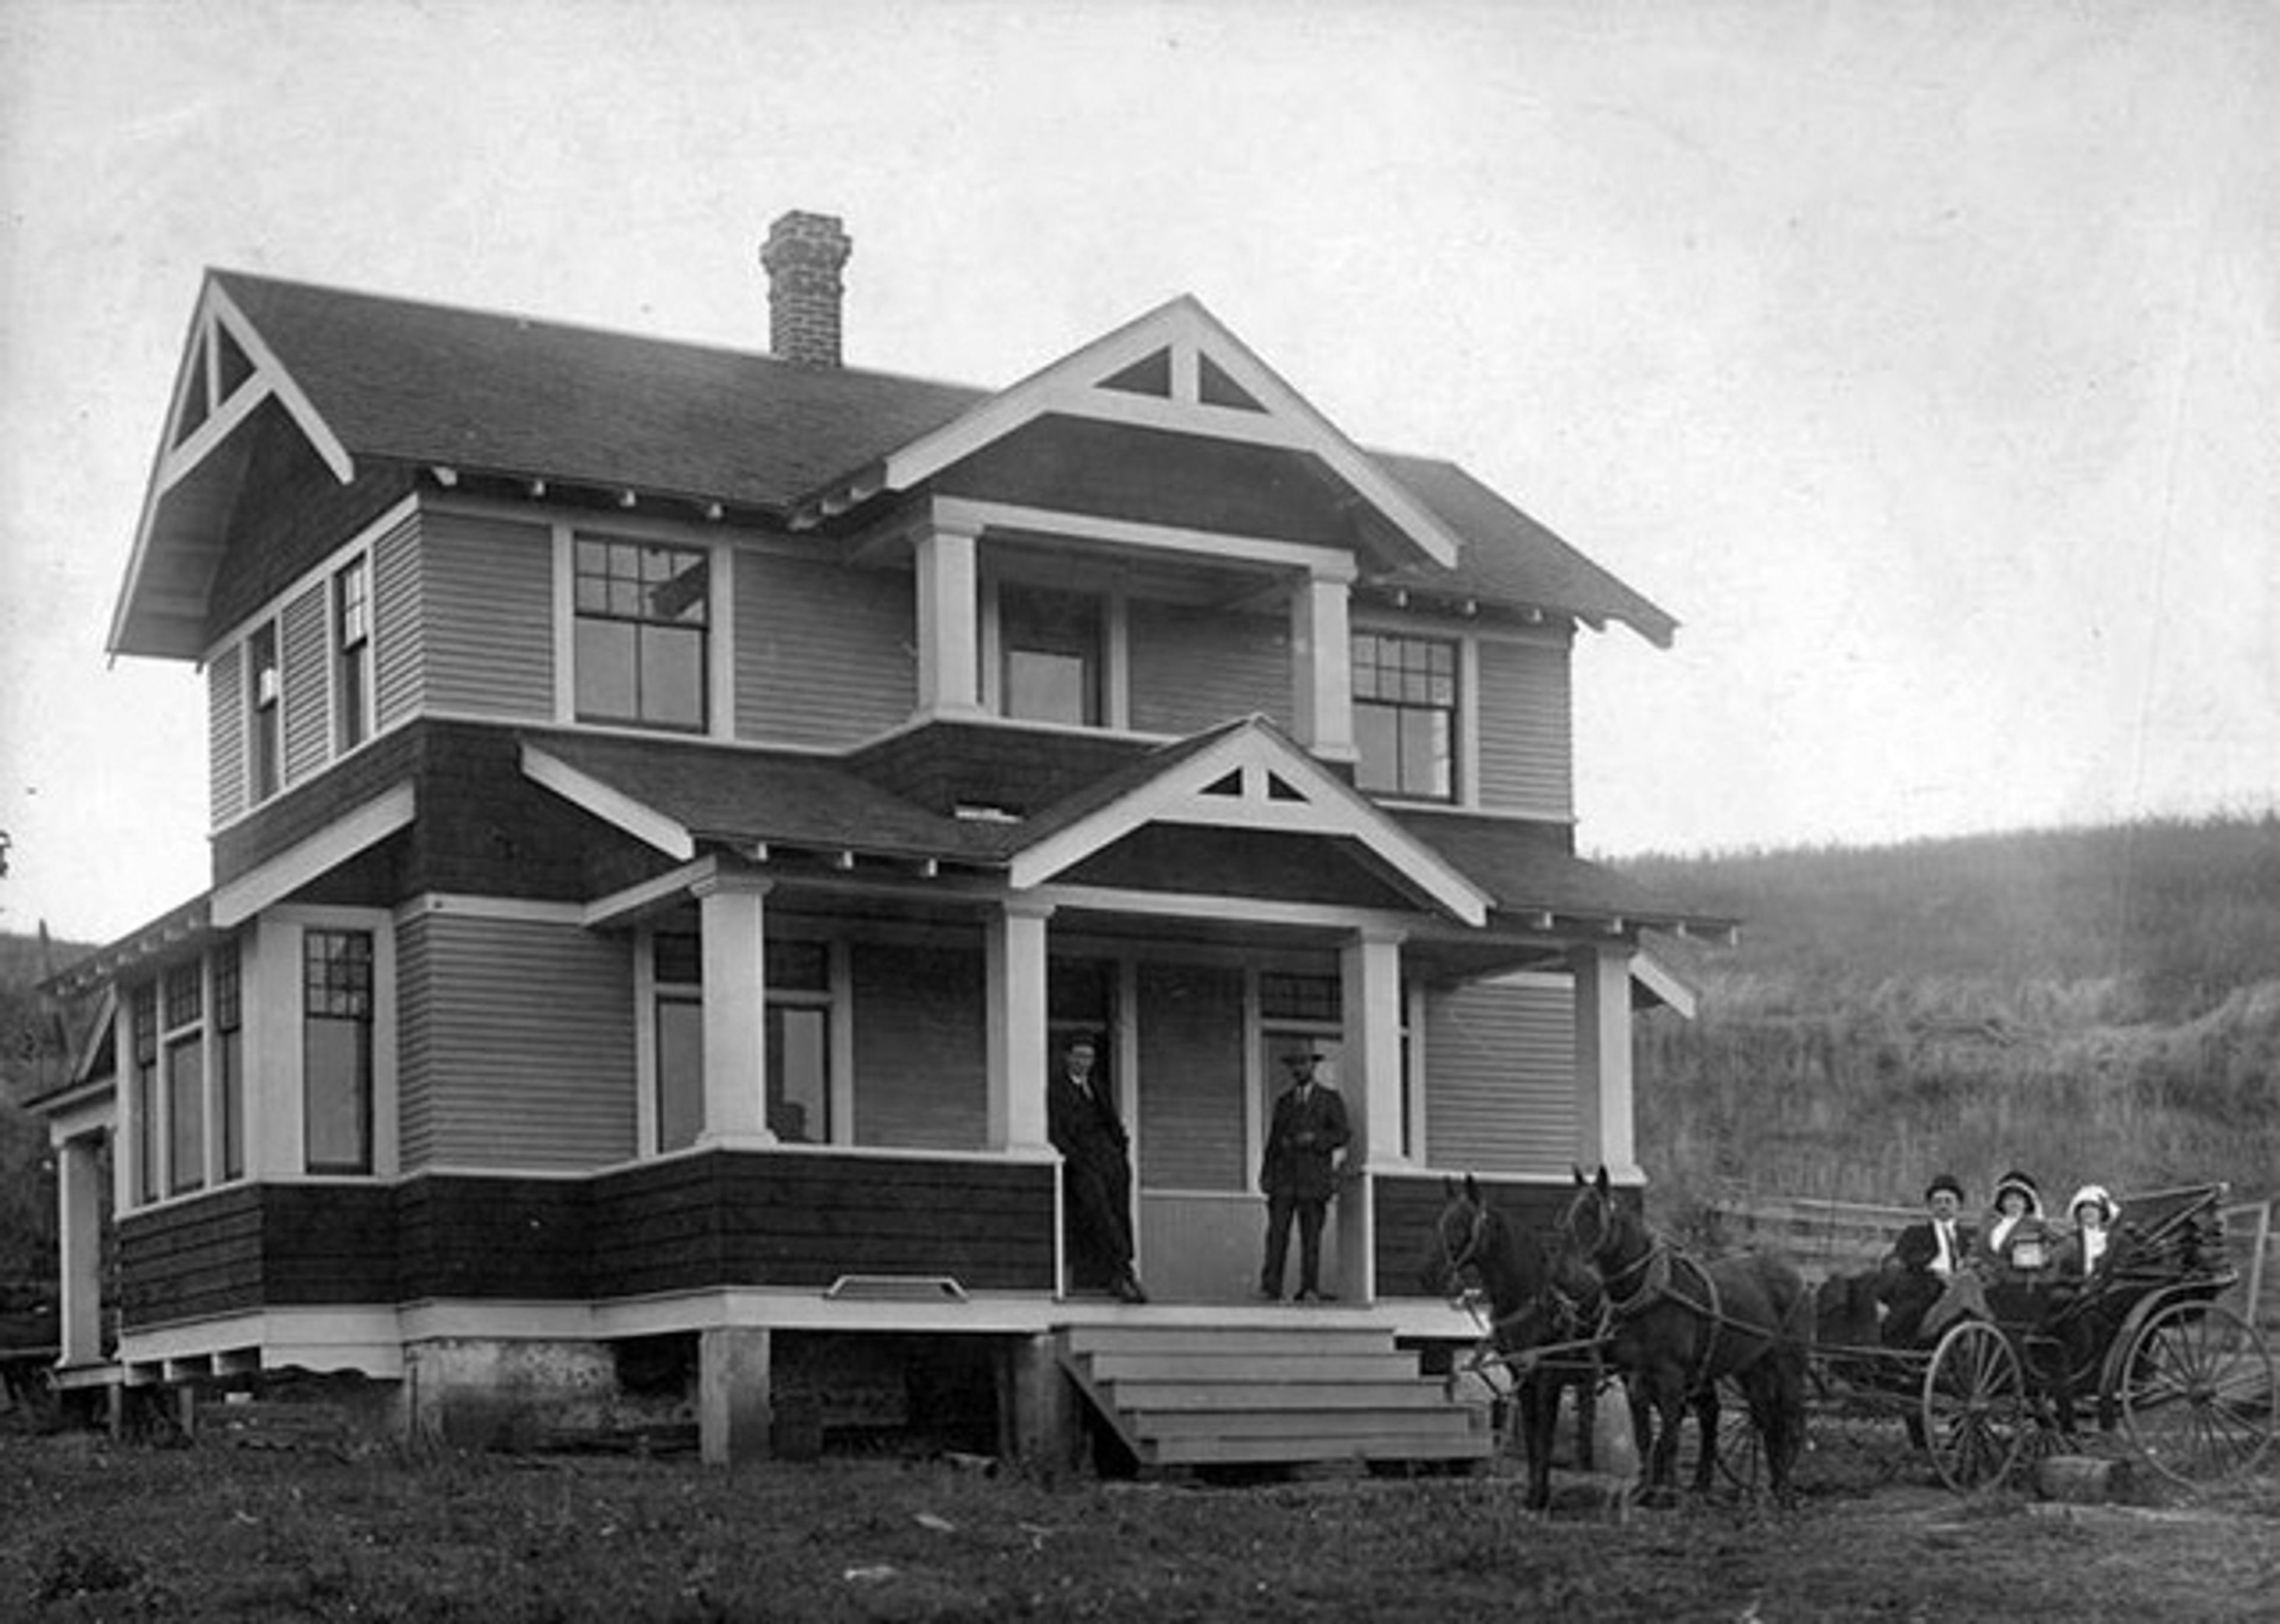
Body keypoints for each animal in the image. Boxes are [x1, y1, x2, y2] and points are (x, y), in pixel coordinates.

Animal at [1423, 1176, 1605, 1505]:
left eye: (1461, 1225)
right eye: (1442, 1223)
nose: (1427, 1275)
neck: (1531, 1299)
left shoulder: (1548, 1379)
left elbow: (1544, 1436)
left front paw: (1541, 1498)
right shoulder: (1523, 1376)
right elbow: (1532, 1436)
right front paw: (1533, 1496)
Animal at [1559, 1168, 1806, 1496]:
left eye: (1590, 1212)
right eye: (1571, 1211)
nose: (1563, 1272)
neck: (1651, 1293)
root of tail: (1794, 1275)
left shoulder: (1672, 1378)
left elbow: (1670, 1436)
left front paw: (1668, 1491)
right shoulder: (1633, 1377)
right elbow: (1645, 1437)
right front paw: (1645, 1487)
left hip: (1789, 1365)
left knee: (1788, 1421)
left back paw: (1785, 1489)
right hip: (1752, 1366)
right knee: (1763, 1418)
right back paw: (1760, 1485)